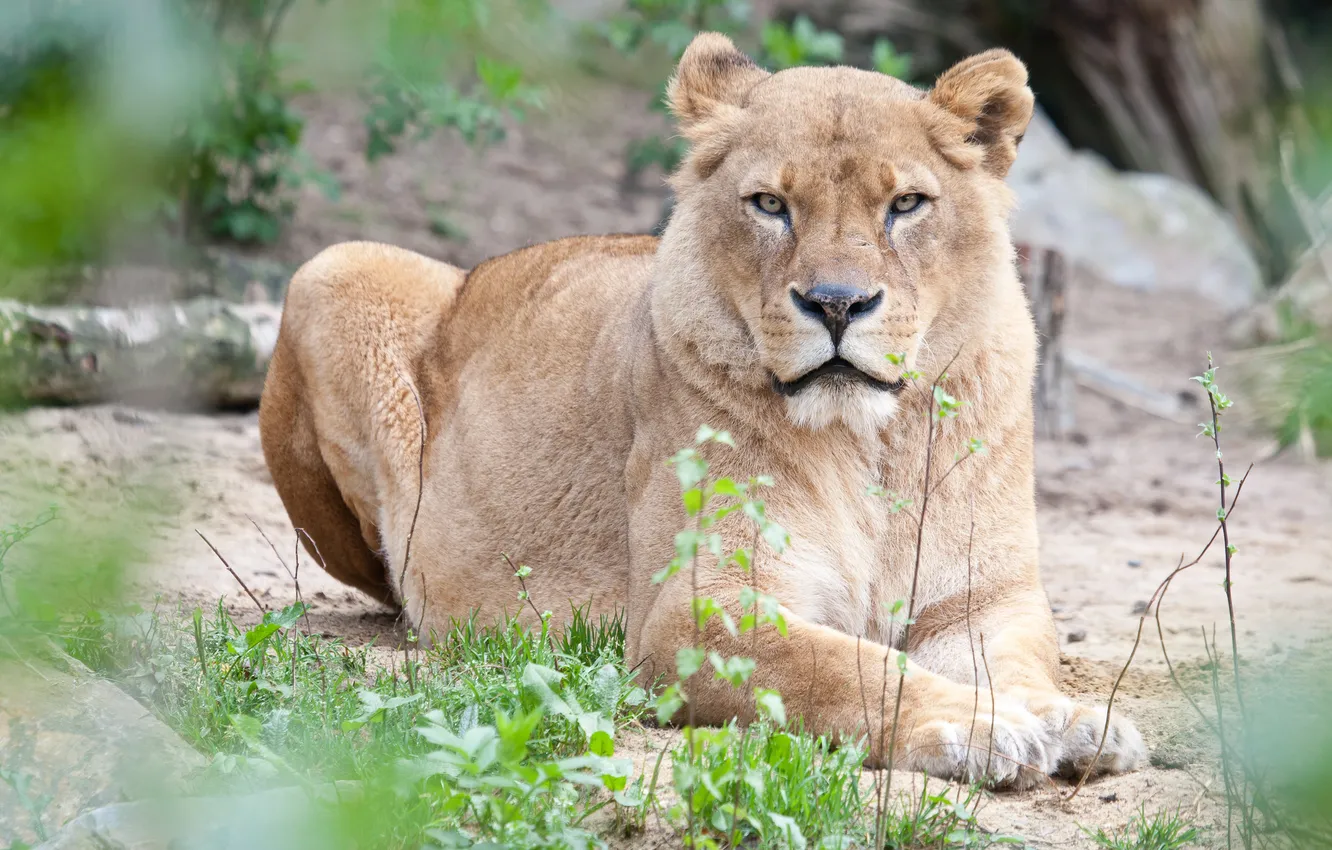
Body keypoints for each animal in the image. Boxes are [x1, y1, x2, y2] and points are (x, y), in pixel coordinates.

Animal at [258, 33, 1145, 788]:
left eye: (906, 205)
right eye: (770, 204)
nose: (836, 303)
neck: (867, 443)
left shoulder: (982, 598)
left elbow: (1017, 659)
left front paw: (1067, 718)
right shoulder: (690, 618)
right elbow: (850, 666)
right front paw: (980, 726)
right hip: (333, 267)